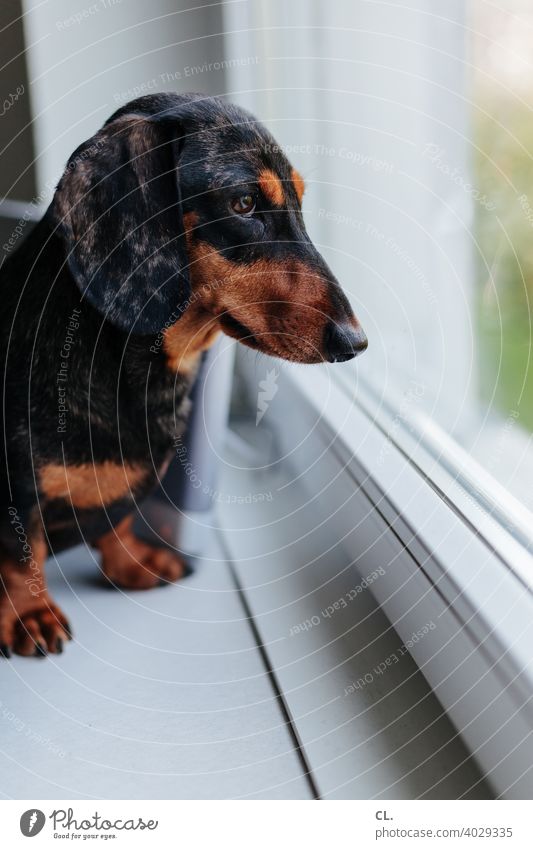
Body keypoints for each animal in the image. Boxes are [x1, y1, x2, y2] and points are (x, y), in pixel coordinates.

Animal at [0, 93, 366, 656]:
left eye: (300, 202)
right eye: (244, 204)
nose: (354, 342)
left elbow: (119, 519)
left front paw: (131, 561)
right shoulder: (15, 488)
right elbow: (23, 553)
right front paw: (29, 613)